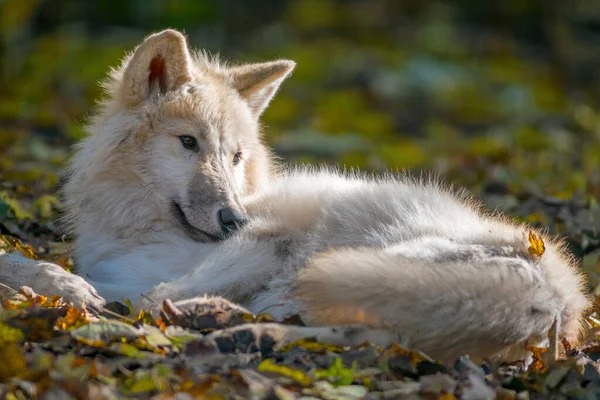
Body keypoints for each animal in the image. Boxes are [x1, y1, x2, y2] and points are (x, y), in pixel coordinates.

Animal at [0, 29, 588, 362]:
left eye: (235, 156)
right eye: (189, 143)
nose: (232, 218)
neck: (133, 227)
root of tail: (560, 288)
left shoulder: (266, 238)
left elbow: (145, 295)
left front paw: (70, 293)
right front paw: (52, 284)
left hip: (355, 264)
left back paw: (217, 321)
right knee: (364, 336)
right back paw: (237, 331)